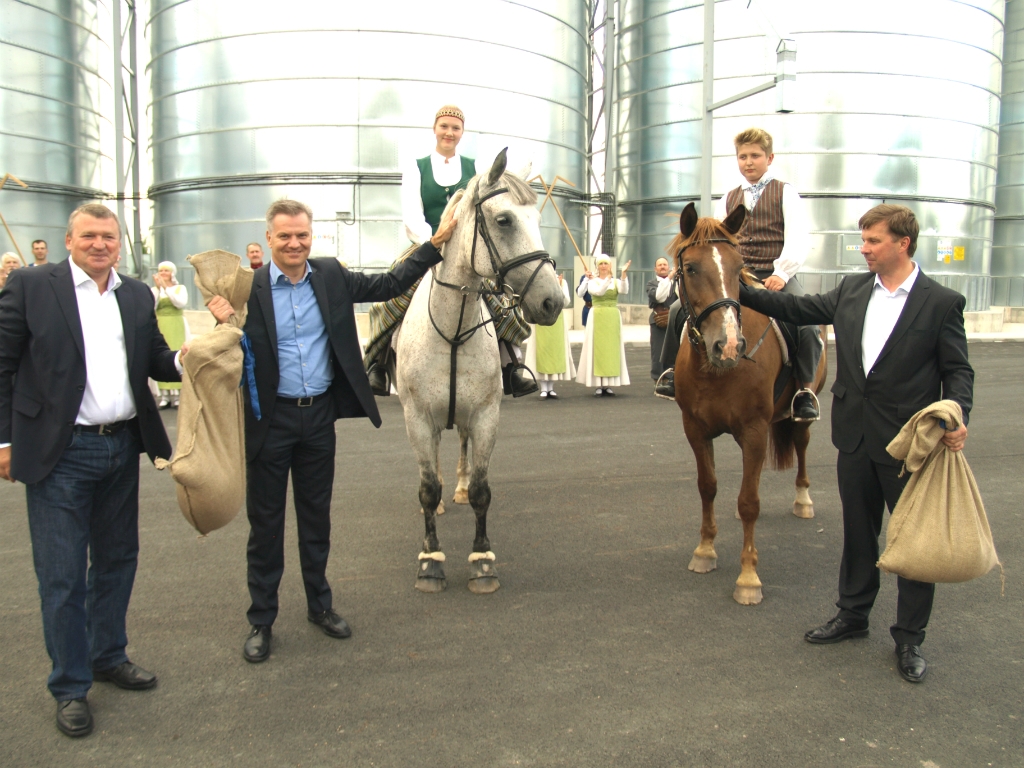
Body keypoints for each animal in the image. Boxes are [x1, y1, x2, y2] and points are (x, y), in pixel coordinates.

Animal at [395, 150, 565, 593]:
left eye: (537, 218)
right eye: (504, 220)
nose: (553, 302)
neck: (452, 330)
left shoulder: (486, 414)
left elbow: (481, 489)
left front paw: (482, 560)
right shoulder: (417, 418)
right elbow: (426, 487)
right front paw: (430, 561)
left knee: (460, 449)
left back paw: (454, 490)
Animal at [667, 202, 827, 606]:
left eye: (738, 267)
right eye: (690, 268)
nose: (728, 346)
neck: (717, 370)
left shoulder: (754, 431)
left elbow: (749, 501)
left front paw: (749, 578)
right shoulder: (695, 429)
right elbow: (708, 486)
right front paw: (705, 551)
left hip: (800, 418)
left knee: (801, 447)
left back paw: (803, 499)